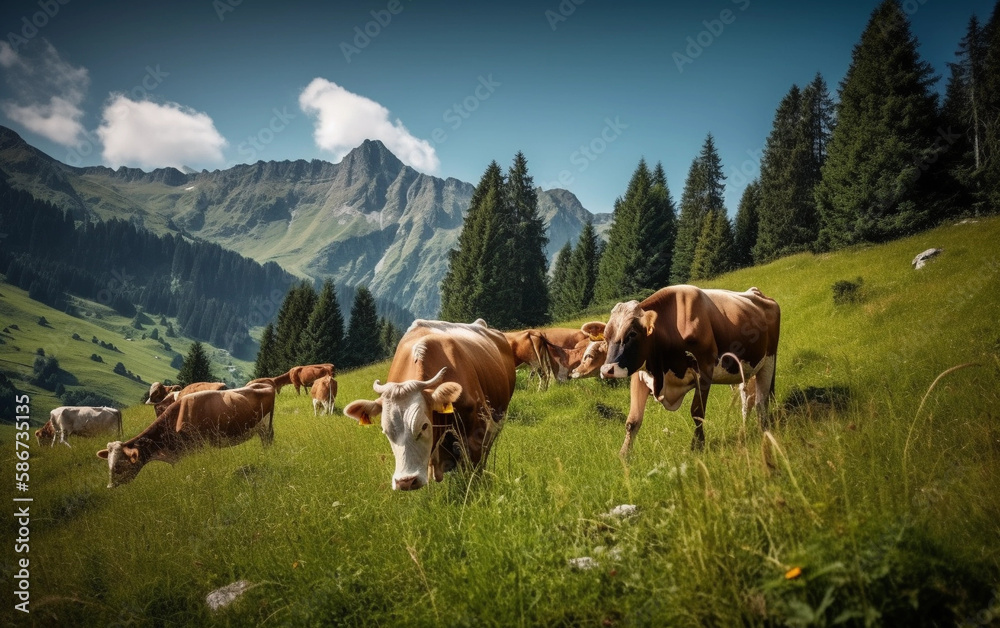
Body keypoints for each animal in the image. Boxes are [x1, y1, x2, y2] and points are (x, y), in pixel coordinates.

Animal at [96, 380, 276, 488]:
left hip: (265, 427)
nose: (110, 486)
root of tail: (262, 384)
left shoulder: (200, 447)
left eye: (119, 465)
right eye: (108, 463)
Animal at [596, 288, 776, 454]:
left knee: (761, 401)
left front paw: (697, 446)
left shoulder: (705, 369)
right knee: (747, 400)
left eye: (632, 334)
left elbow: (697, 411)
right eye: (606, 337)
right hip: (746, 372)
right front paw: (624, 456)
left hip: (769, 361)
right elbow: (632, 421)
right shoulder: (639, 376)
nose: (606, 369)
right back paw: (745, 429)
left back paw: (764, 429)